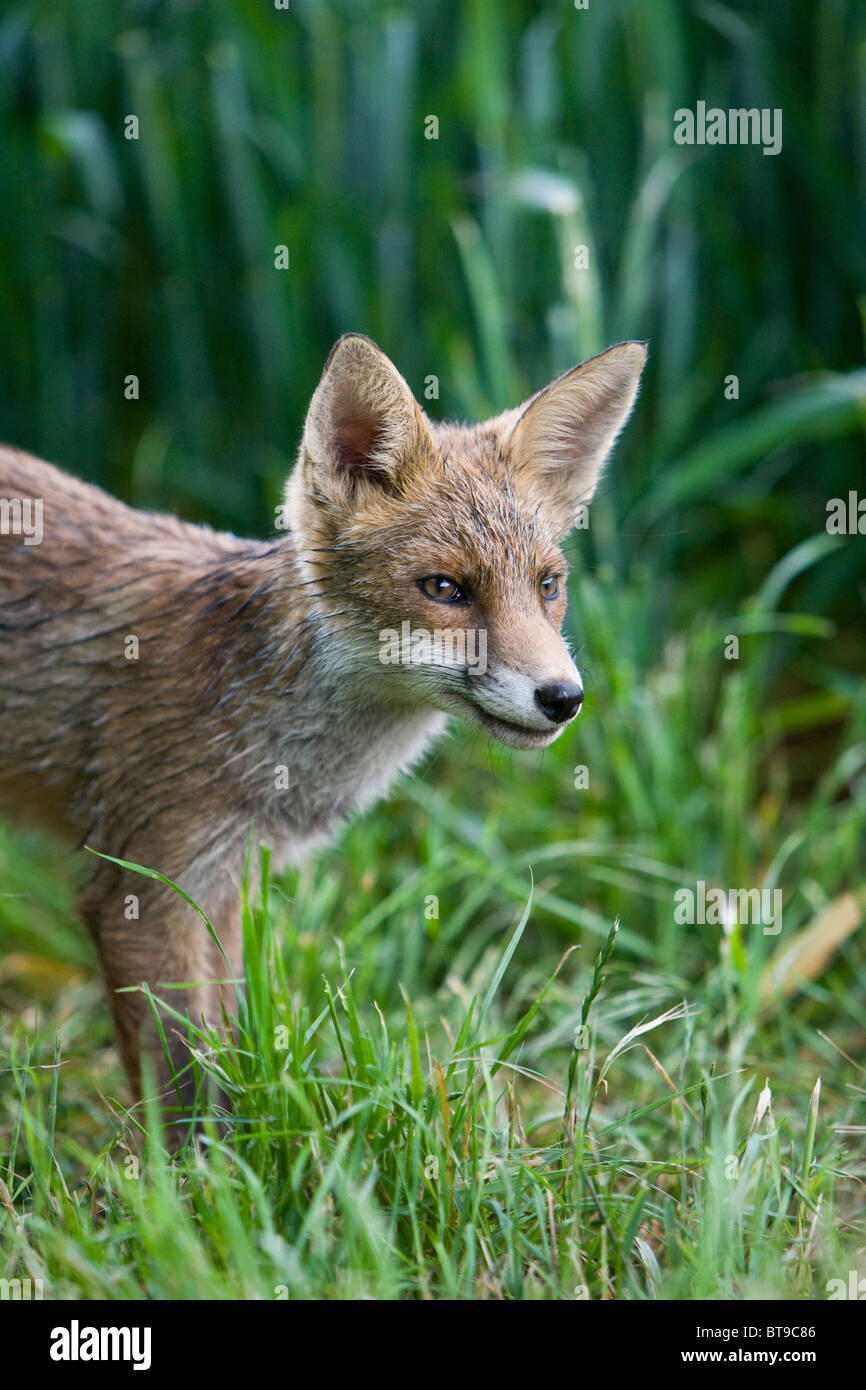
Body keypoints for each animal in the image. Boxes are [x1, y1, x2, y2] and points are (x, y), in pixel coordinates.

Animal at [0, 333, 647, 1128]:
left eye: (548, 585)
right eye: (445, 589)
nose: (564, 698)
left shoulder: (225, 885)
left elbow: (226, 1046)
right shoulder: (143, 889)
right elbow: (184, 1085)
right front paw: (191, 1166)